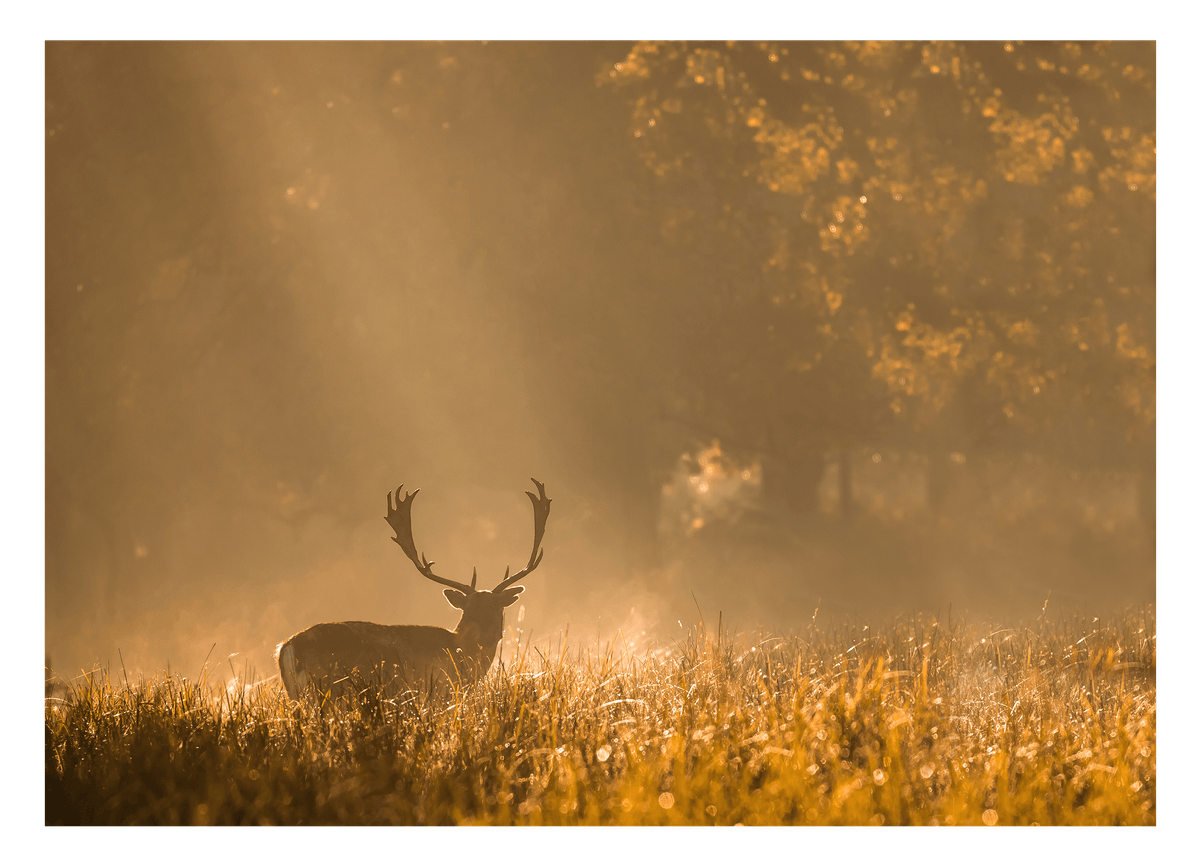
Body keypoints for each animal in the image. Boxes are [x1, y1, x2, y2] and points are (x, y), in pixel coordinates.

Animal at [276, 479, 551, 702]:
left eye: (498, 608)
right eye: (468, 611)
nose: (486, 637)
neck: (461, 657)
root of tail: (286, 648)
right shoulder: (435, 691)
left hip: (297, 695)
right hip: (327, 689)